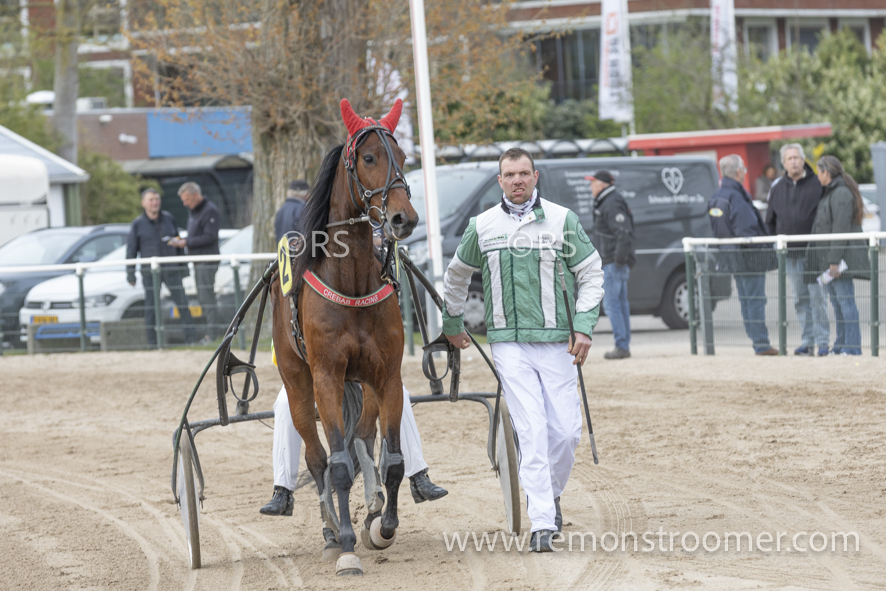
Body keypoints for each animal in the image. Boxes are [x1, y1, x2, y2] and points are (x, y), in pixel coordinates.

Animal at [270, 98, 418, 576]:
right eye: (369, 158)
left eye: (403, 157)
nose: (402, 218)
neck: (351, 282)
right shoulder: (328, 378)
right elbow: (334, 465)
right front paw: (349, 546)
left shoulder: (388, 375)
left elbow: (393, 461)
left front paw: (382, 526)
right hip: (299, 383)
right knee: (317, 458)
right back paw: (332, 533)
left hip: (364, 384)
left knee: (364, 438)